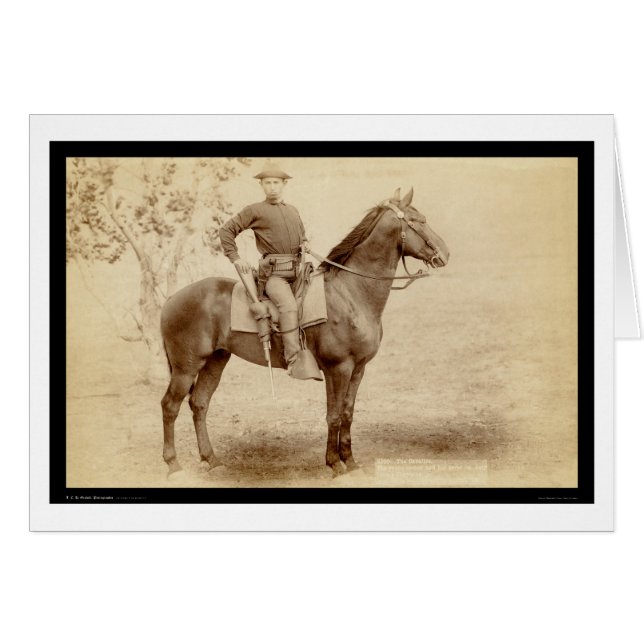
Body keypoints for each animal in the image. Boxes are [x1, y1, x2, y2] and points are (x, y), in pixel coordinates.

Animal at [160, 187, 450, 478]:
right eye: (418, 220)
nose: (445, 254)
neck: (350, 293)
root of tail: (172, 299)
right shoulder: (338, 369)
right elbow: (333, 415)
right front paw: (334, 463)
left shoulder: (358, 369)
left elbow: (348, 413)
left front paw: (351, 461)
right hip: (186, 368)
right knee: (170, 406)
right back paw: (173, 464)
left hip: (215, 361)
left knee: (199, 404)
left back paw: (211, 459)